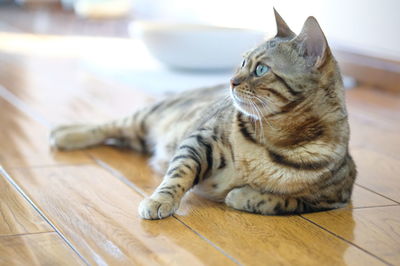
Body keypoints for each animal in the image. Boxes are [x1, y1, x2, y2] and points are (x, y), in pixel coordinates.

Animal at [50, 9, 356, 219]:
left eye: (261, 69)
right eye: (242, 62)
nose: (231, 81)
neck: (272, 138)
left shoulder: (334, 196)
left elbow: (284, 201)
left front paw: (243, 196)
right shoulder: (201, 140)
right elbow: (178, 175)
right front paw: (160, 201)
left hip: (141, 137)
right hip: (147, 117)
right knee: (108, 126)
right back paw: (63, 133)